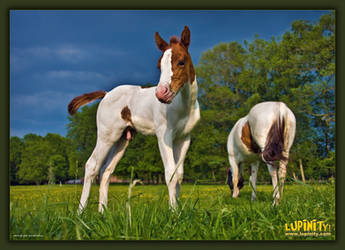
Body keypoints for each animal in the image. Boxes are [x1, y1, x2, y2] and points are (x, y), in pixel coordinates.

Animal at [68, 25, 199, 213]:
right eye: (159, 65)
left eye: (181, 61)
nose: (162, 94)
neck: (183, 106)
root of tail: (106, 94)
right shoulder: (164, 135)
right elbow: (170, 173)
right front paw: (173, 213)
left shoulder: (184, 137)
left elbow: (179, 174)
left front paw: (179, 210)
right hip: (107, 136)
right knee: (92, 165)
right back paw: (80, 213)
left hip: (122, 138)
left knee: (106, 171)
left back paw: (102, 213)